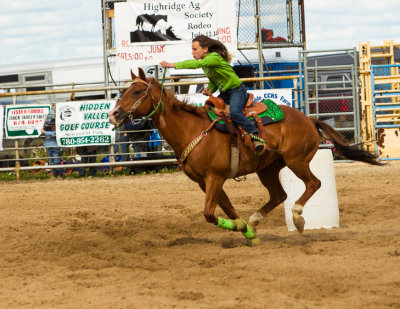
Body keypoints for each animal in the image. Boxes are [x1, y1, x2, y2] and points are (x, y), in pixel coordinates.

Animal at [108, 68, 382, 245]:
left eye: (136, 92)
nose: (114, 114)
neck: (192, 130)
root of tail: (308, 119)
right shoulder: (205, 182)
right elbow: (227, 208)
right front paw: (246, 231)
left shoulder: (215, 177)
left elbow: (209, 213)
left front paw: (242, 228)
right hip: (268, 168)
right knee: (279, 195)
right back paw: (256, 219)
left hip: (296, 161)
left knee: (313, 184)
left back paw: (298, 219)